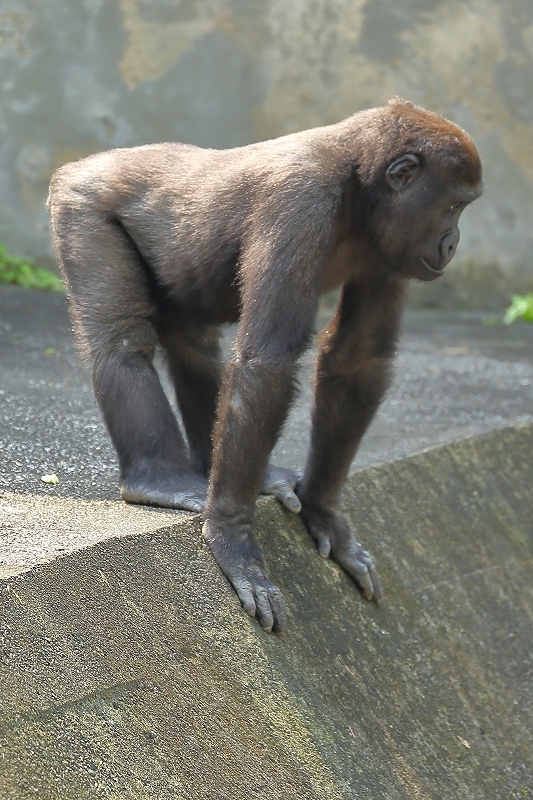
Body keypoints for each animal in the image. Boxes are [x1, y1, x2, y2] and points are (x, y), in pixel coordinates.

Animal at [48, 100, 482, 636]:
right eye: (453, 206)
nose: (452, 243)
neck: (356, 179)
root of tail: (84, 163)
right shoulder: (298, 203)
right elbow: (266, 363)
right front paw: (233, 536)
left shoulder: (388, 242)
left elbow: (357, 358)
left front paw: (324, 508)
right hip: (82, 202)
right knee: (122, 342)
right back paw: (160, 476)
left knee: (196, 345)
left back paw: (216, 467)